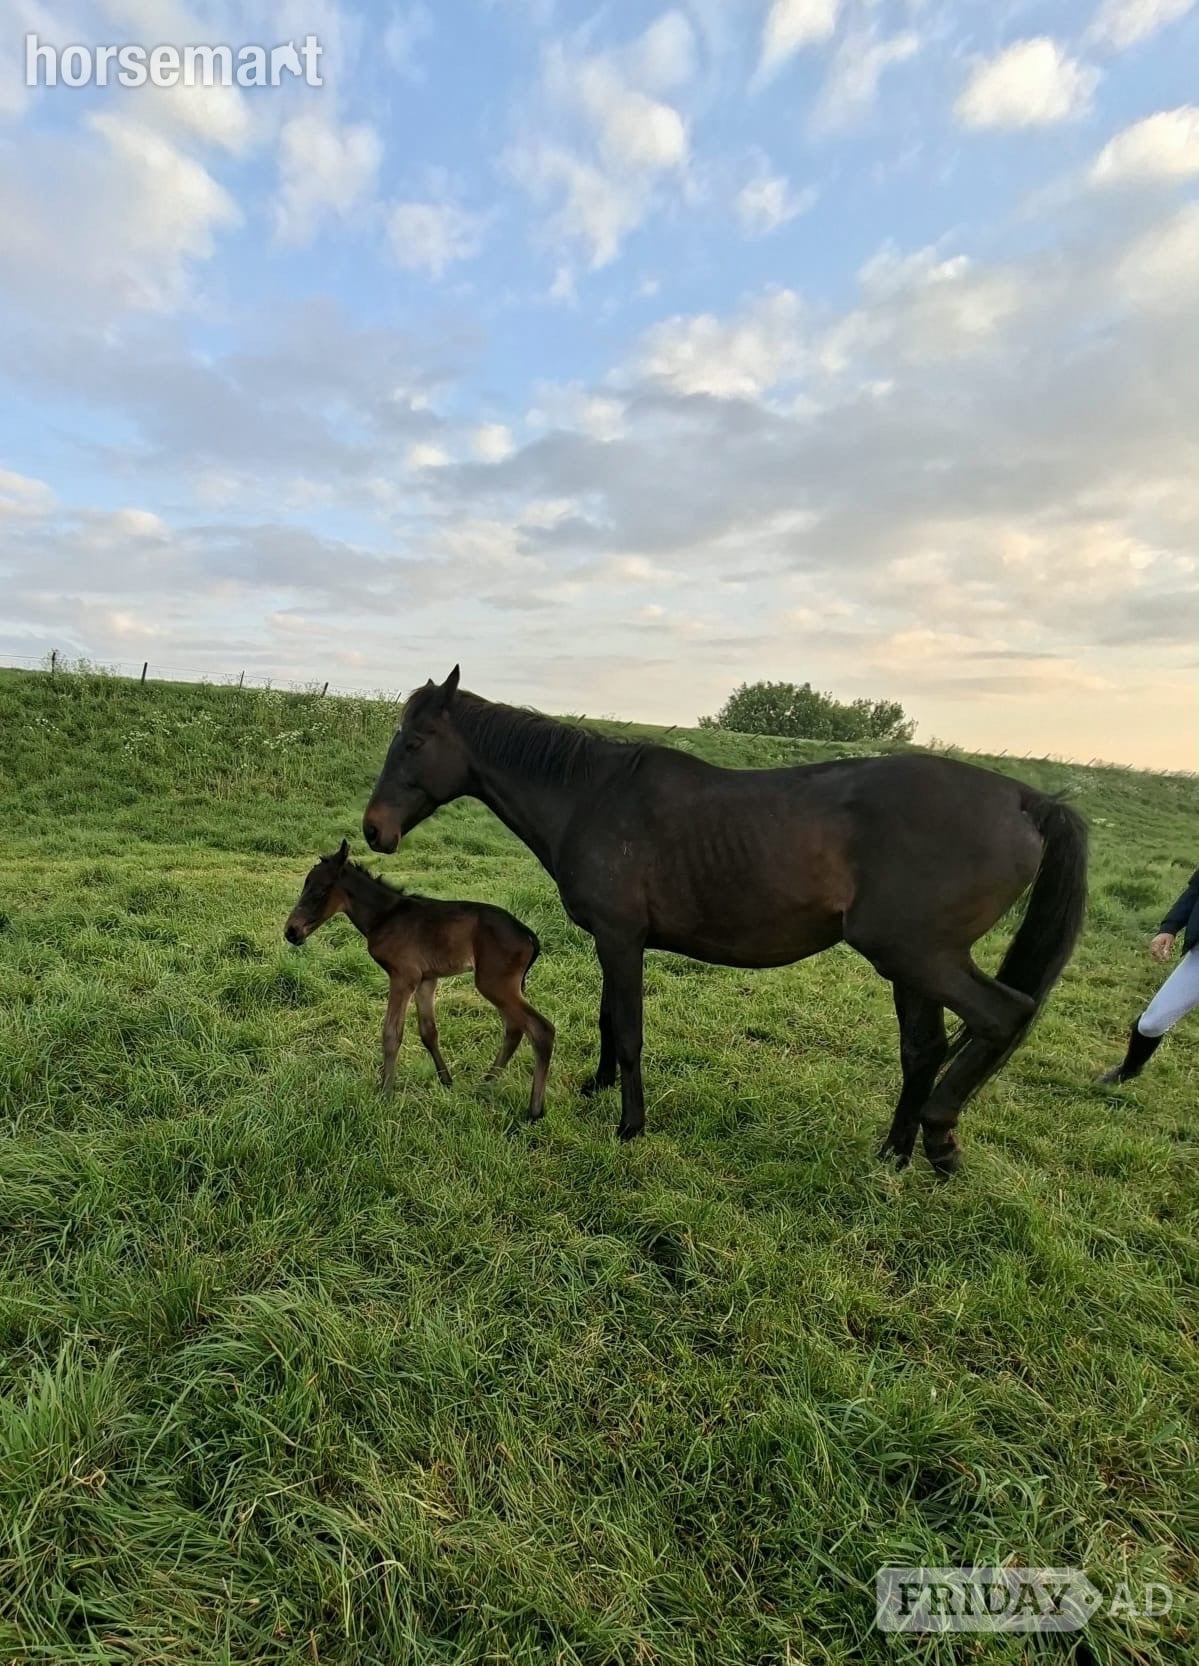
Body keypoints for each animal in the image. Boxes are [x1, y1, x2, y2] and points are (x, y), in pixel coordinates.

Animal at [285, 840, 555, 1118]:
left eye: (320, 891)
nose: (291, 932)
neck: (386, 916)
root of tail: (528, 935)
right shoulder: (427, 979)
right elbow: (428, 1031)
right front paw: (446, 1081)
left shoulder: (403, 977)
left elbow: (392, 1034)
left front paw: (385, 1093)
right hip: (504, 987)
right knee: (514, 1029)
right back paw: (486, 1083)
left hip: (494, 984)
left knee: (541, 1030)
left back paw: (534, 1110)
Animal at [362, 668, 1087, 1173]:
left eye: (415, 742)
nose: (374, 830)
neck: (591, 795)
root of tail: (1025, 800)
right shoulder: (613, 940)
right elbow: (606, 1017)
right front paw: (598, 1088)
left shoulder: (621, 938)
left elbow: (628, 1029)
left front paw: (630, 1125)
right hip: (911, 965)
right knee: (924, 1050)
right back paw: (893, 1155)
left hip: (919, 957)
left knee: (1005, 1015)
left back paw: (939, 1137)